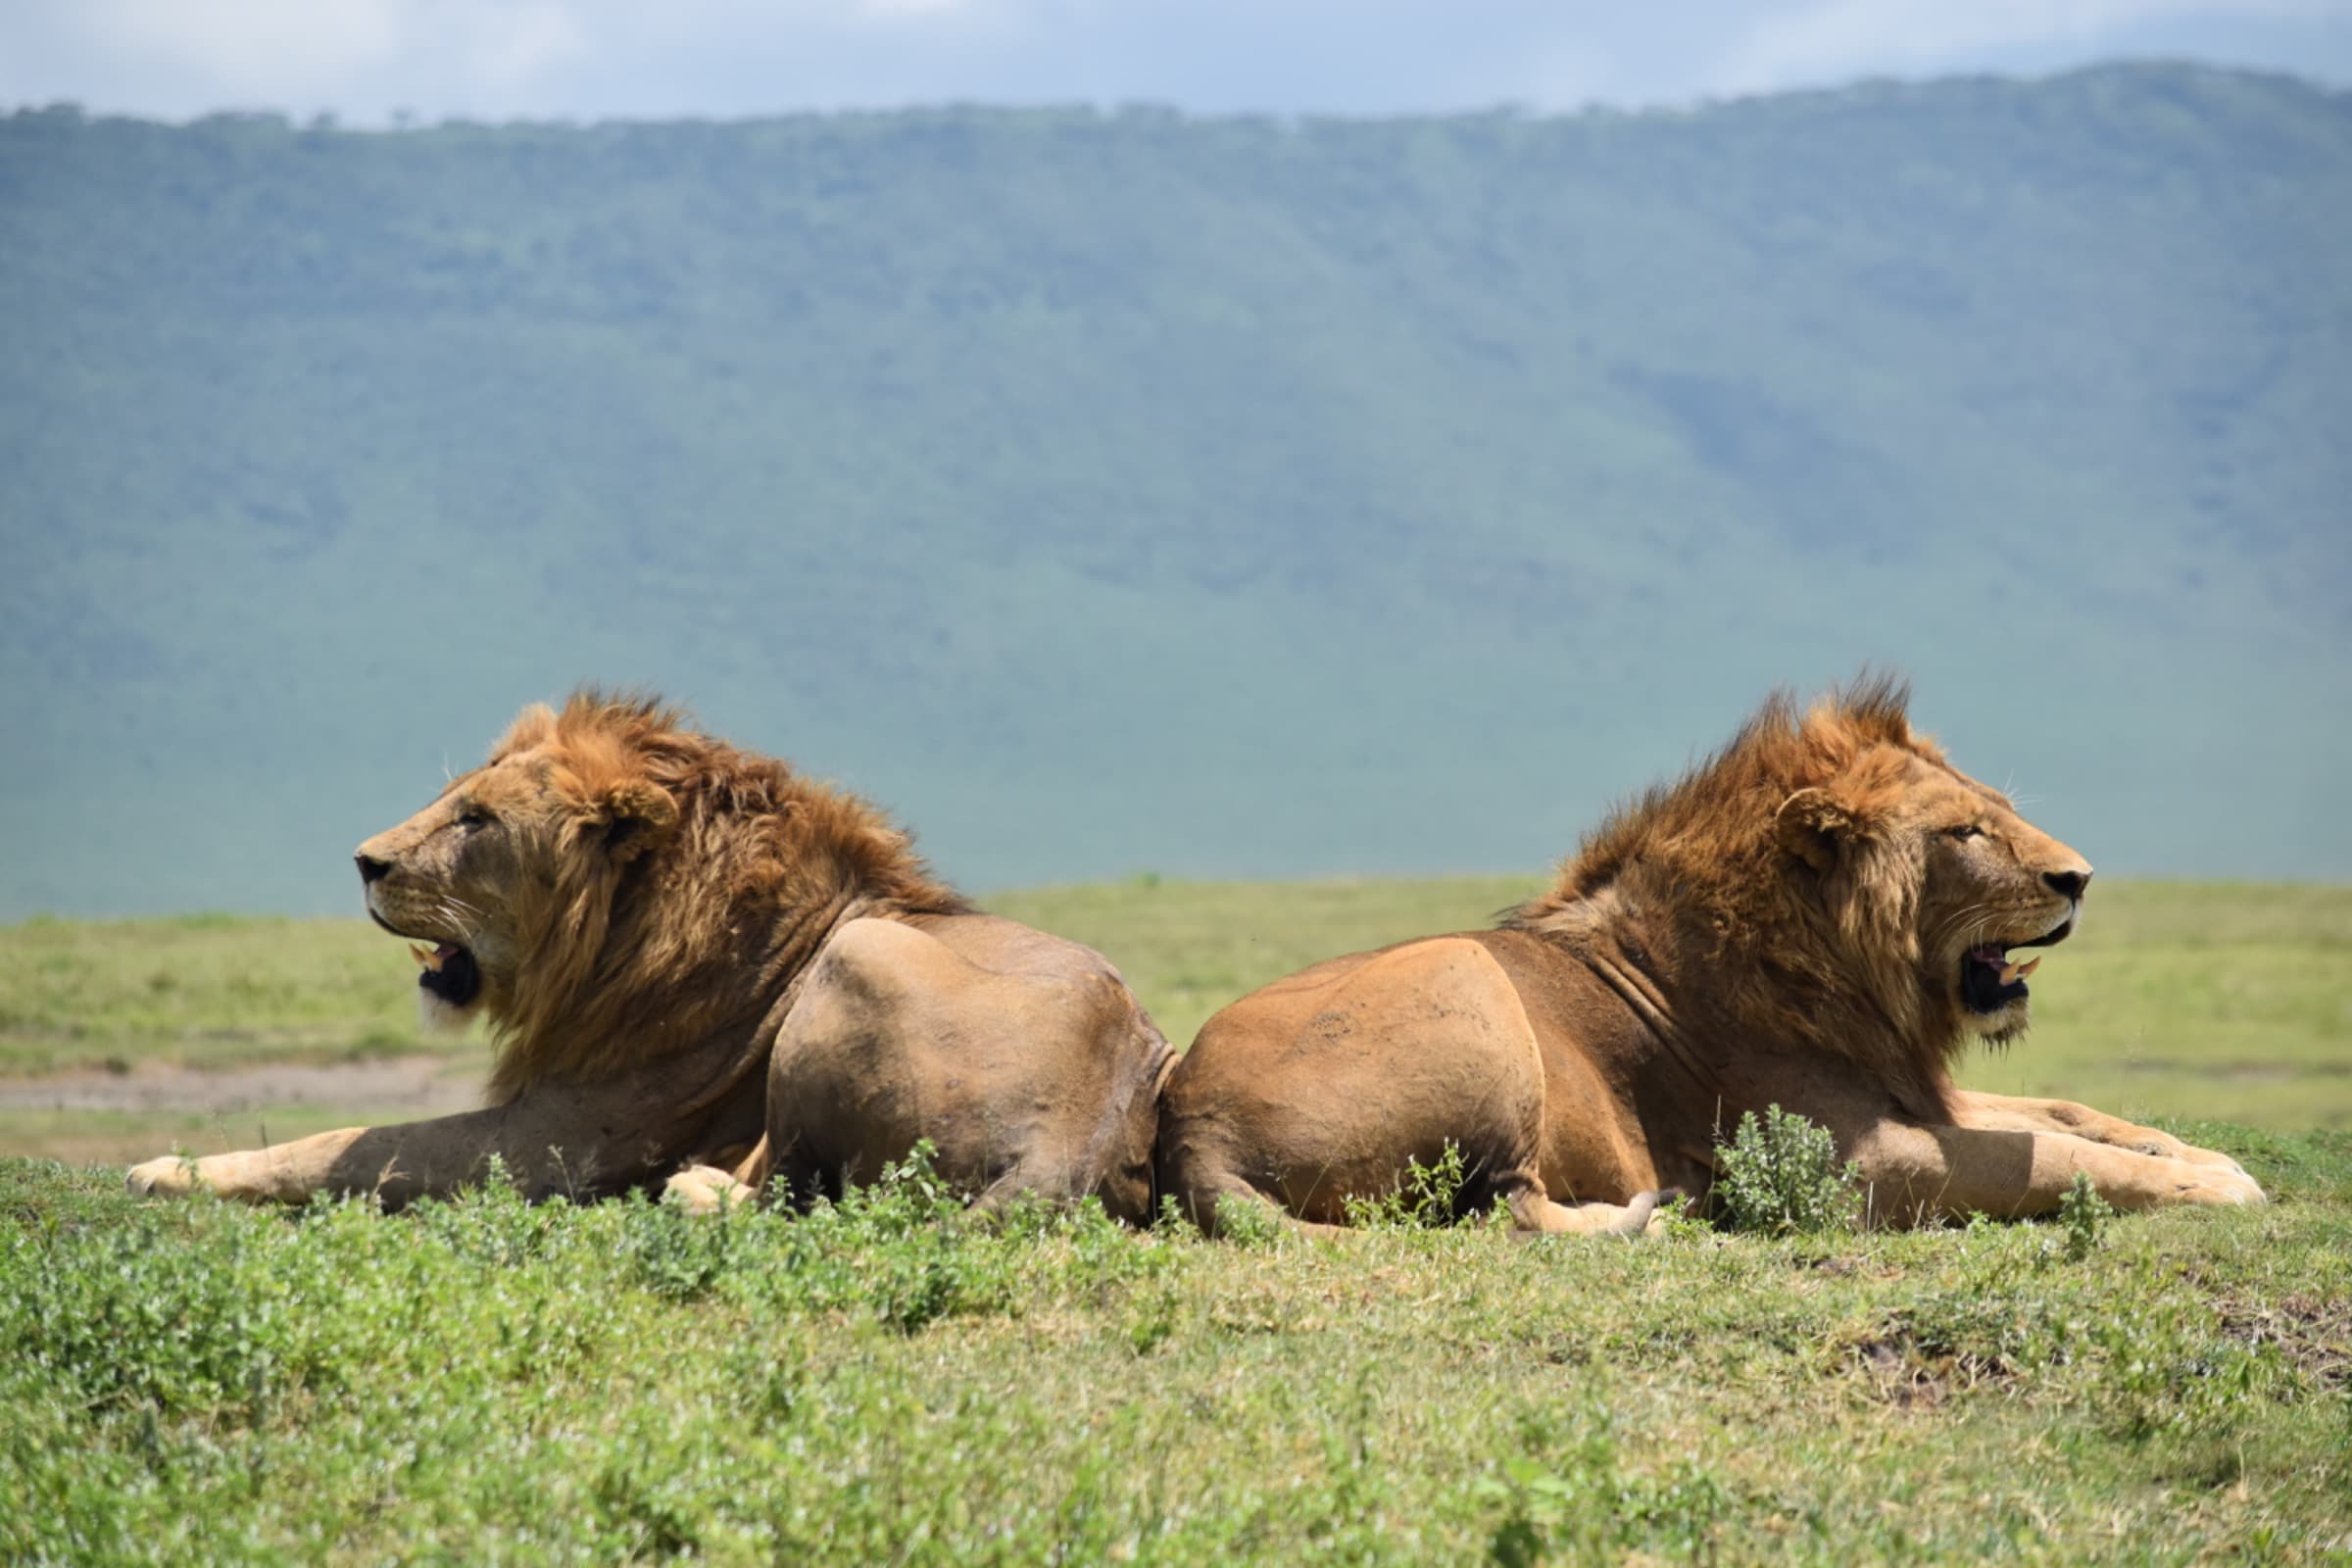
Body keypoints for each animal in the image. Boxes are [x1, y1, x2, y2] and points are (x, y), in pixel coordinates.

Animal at [128, 692, 1173, 1218]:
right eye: (457, 798)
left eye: (477, 820)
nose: (363, 862)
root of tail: (1065, 1137)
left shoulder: (554, 1141)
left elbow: (350, 1145)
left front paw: (168, 1169)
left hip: (864, 960)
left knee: (781, 1194)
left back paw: (694, 1187)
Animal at [1156, 678, 2264, 1235]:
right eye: (1966, 833)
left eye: (1998, 811)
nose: (2080, 878)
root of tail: (1188, 1130)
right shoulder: (1860, 1163)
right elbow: (2048, 1155)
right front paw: (2221, 1190)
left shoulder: (1914, 1091)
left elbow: (2065, 1114)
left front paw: (2198, 1154)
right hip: (1461, 973)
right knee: (1507, 1211)